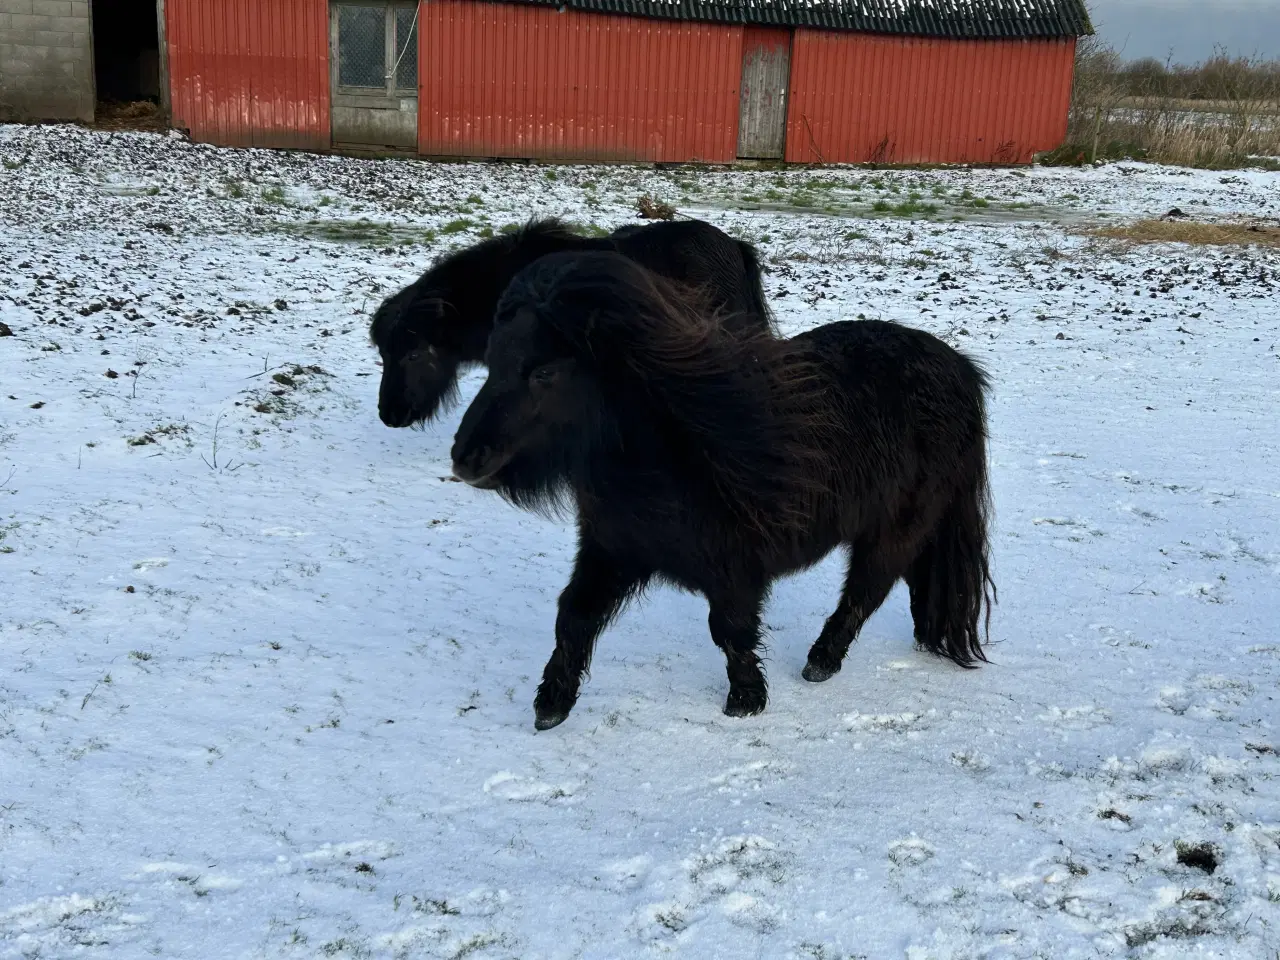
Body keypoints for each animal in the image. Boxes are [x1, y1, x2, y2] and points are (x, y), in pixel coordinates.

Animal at [450, 252, 998, 732]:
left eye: (544, 372)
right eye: (492, 362)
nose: (464, 459)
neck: (679, 445)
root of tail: (960, 369)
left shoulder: (735, 567)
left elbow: (731, 631)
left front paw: (745, 700)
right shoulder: (612, 550)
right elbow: (573, 617)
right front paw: (551, 705)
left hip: (893, 528)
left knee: (865, 591)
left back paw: (821, 662)